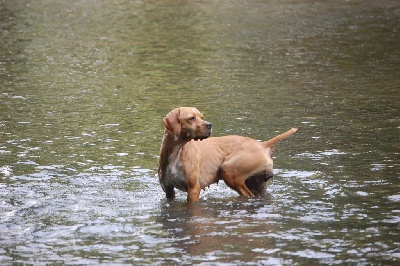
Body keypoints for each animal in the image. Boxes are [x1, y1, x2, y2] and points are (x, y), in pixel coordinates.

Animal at [157, 107, 296, 203]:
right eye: (191, 118)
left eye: (201, 116)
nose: (209, 125)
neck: (175, 152)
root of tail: (262, 145)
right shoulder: (168, 191)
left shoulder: (193, 190)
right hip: (256, 183)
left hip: (228, 171)